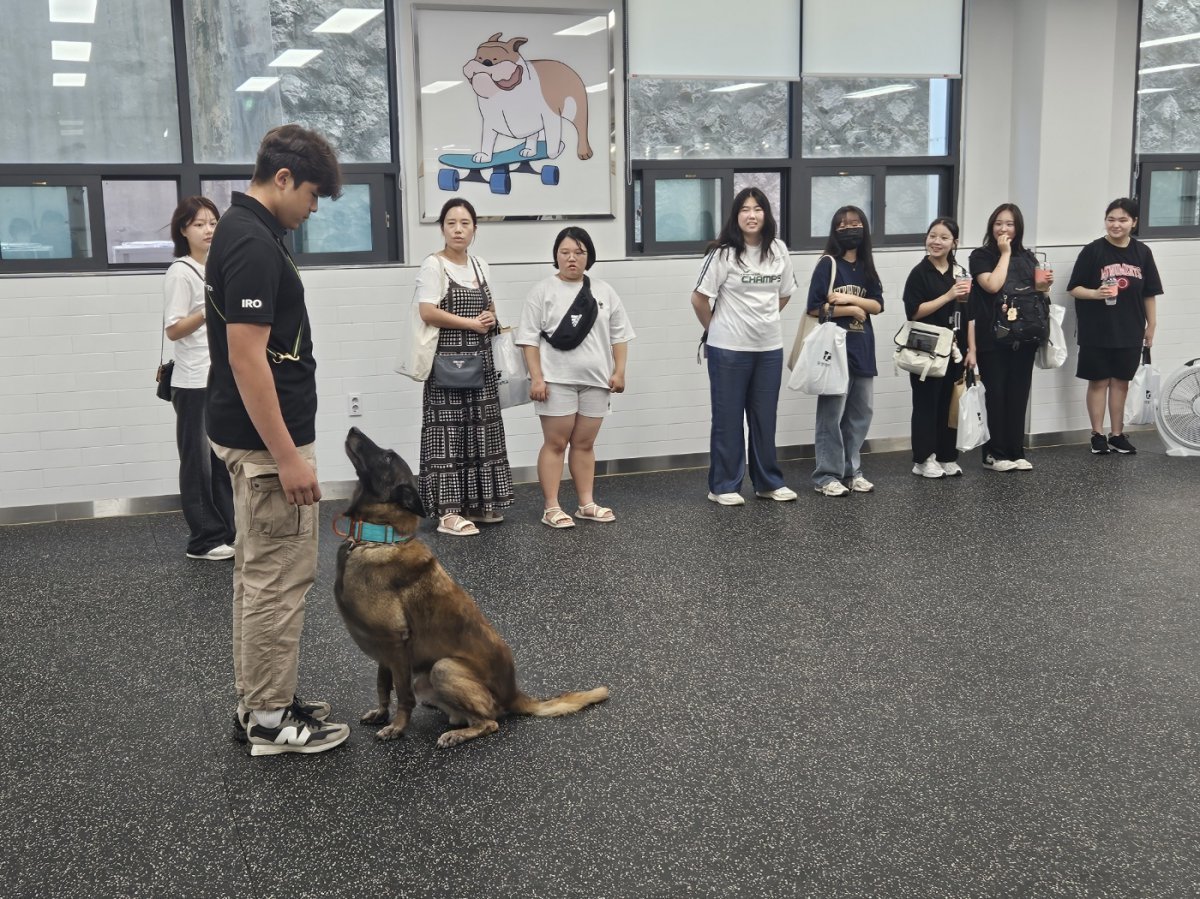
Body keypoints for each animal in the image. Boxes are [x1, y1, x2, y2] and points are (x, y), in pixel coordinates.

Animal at [336, 424, 609, 748]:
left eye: (387, 457)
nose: (353, 428)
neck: (376, 538)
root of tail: (514, 694)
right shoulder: (385, 651)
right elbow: (382, 685)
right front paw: (380, 713)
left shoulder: (395, 645)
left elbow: (401, 695)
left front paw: (398, 726)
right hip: (425, 679)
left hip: (442, 667)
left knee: (489, 722)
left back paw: (457, 734)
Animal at [460, 32, 592, 164]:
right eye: (479, 58)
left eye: (496, 59)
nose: (486, 62)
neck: (504, 92)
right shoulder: (489, 122)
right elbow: (487, 141)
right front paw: (485, 156)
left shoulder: (550, 117)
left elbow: (552, 139)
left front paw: (555, 152)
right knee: (533, 136)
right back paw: (529, 150)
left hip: (576, 109)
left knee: (581, 130)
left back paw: (584, 153)